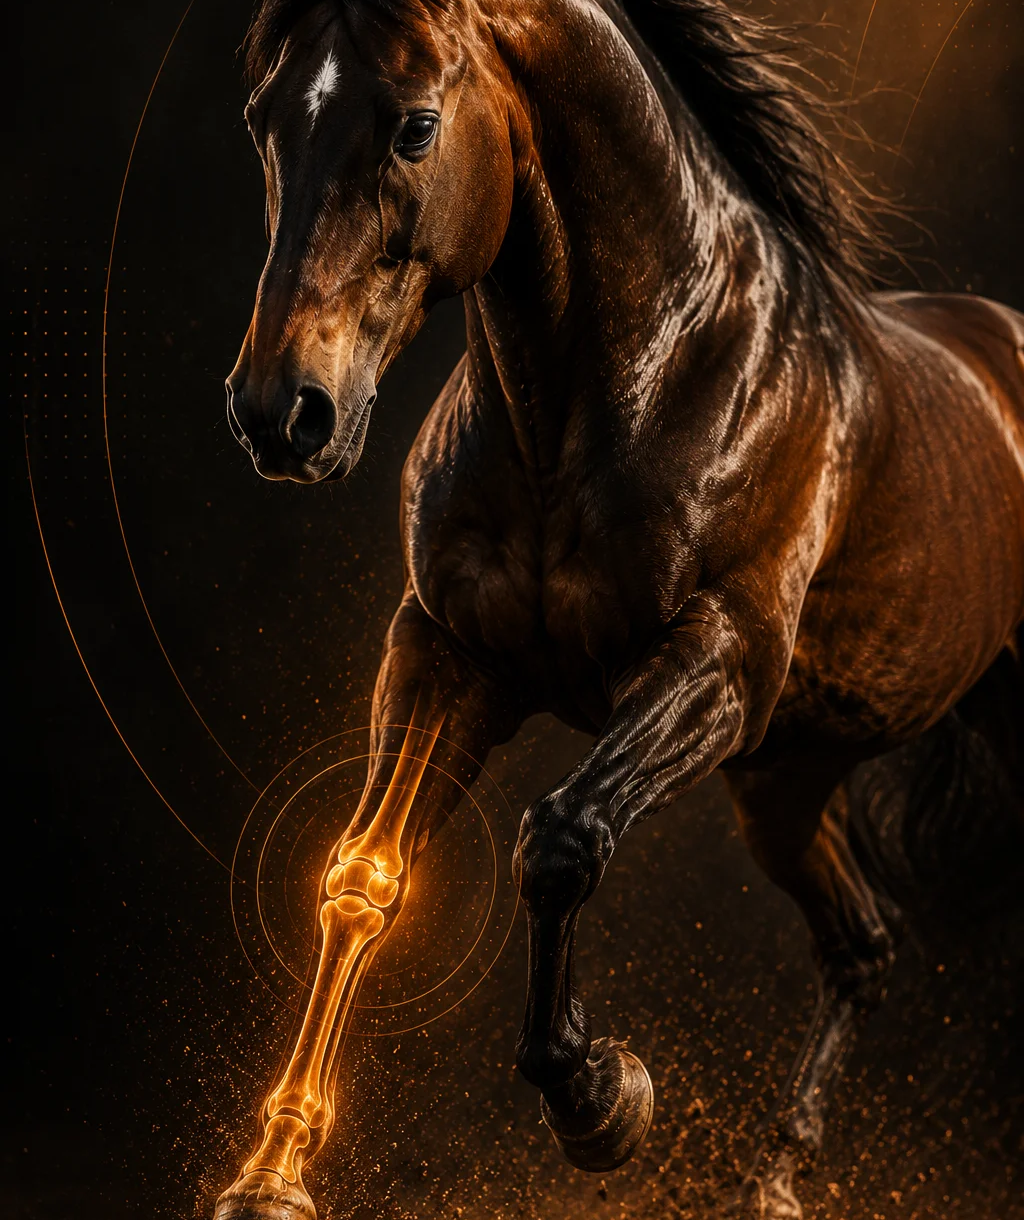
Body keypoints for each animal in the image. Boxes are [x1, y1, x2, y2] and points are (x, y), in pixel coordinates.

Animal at [215, 0, 1024, 1216]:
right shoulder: (445, 654)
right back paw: (774, 1183)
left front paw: (600, 1096)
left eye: (415, 126)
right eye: (263, 119)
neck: (644, 373)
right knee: (862, 945)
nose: (281, 411)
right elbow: (362, 876)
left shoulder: (717, 666)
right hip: (785, 780)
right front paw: (269, 1173)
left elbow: (559, 838)